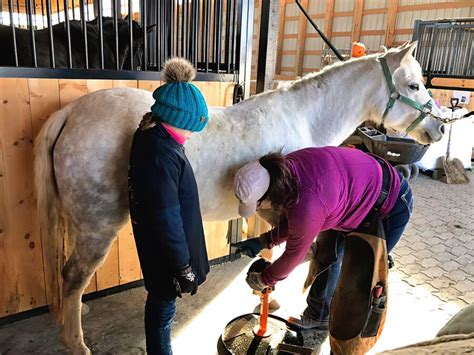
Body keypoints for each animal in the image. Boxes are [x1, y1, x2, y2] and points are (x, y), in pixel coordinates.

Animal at [36, 43, 444, 354]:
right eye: (413, 84)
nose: (439, 128)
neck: (304, 118)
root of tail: (70, 113)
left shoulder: (273, 214)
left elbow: (272, 250)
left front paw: (267, 293)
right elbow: (305, 253)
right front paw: (275, 291)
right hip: (99, 225)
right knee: (73, 275)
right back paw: (77, 343)